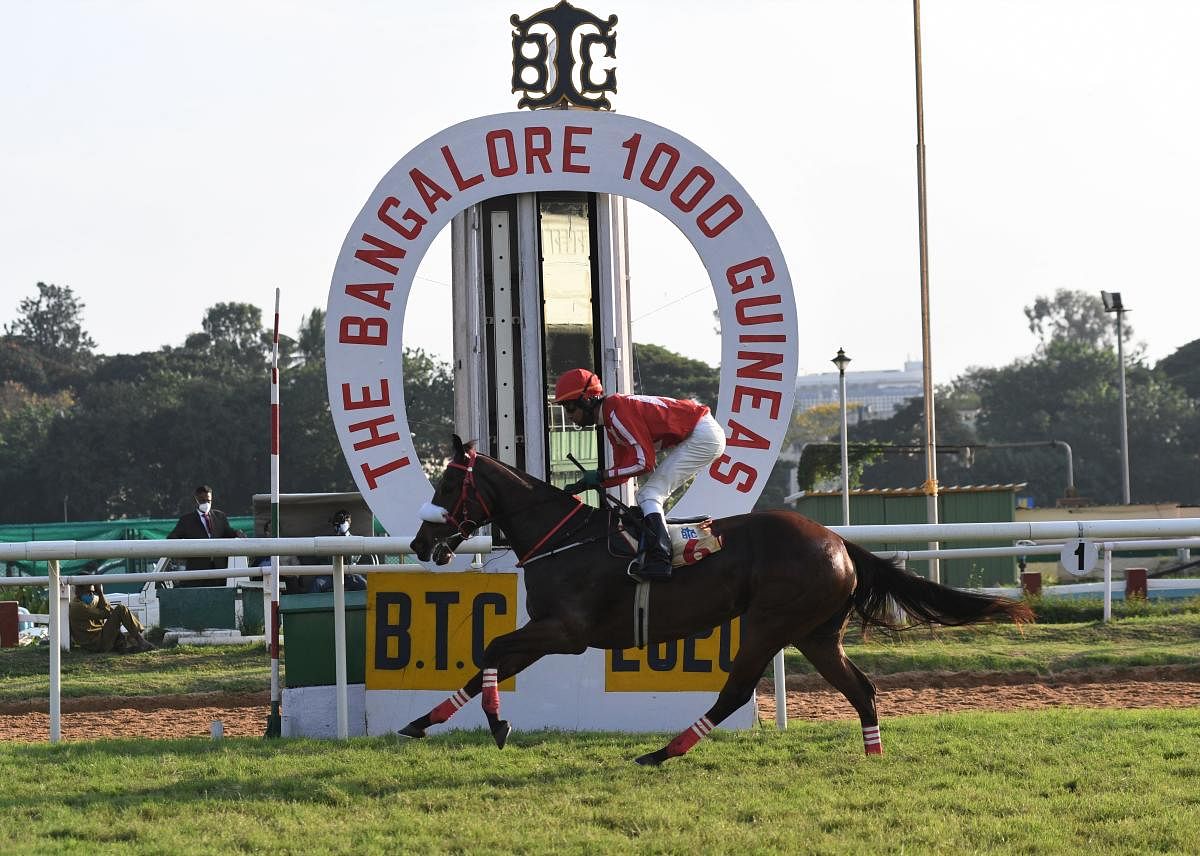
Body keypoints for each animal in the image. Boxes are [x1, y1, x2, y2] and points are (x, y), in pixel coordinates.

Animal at [403, 434, 1032, 763]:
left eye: (446, 484)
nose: (420, 542)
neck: (563, 538)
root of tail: (838, 541)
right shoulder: (549, 630)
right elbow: (486, 663)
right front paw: (421, 723)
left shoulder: (567, 631)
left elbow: (489, 651)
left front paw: (496, 725)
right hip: (815, 633)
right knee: (861, 689)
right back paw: (873, 756)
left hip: (769, 622)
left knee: (736, 691)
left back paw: (663, 752)